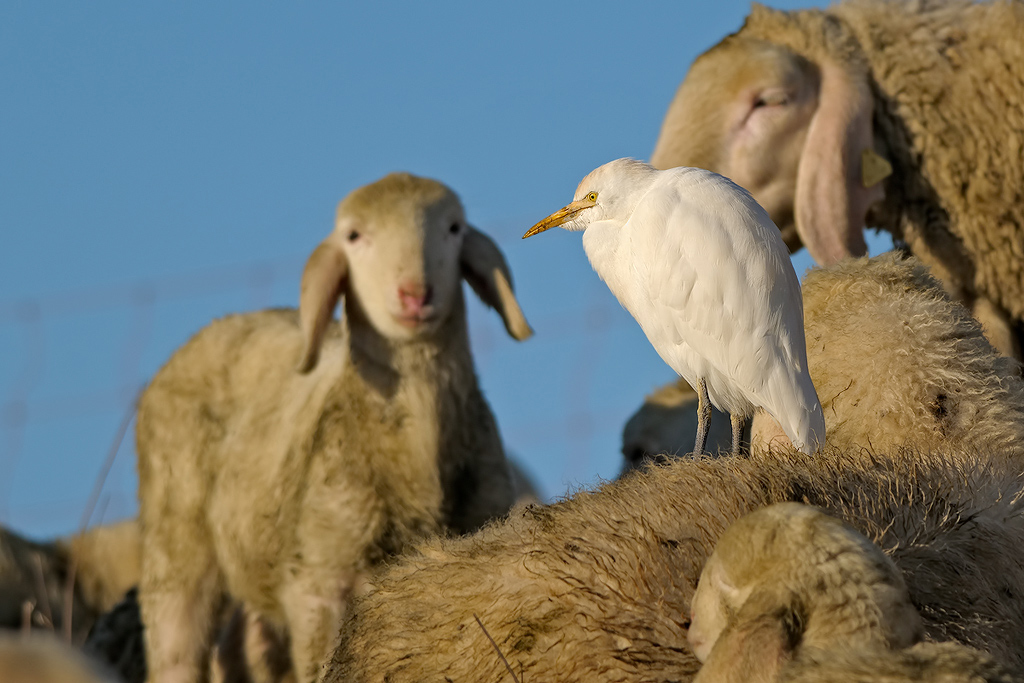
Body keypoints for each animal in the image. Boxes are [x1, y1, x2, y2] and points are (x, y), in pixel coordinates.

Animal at [135, 171, 532, 683]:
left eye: (454, 228)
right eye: (354, 236)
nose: (415, 294)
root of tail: (221, 323)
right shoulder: (318, 585)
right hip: (175, 535)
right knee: (176, 645)